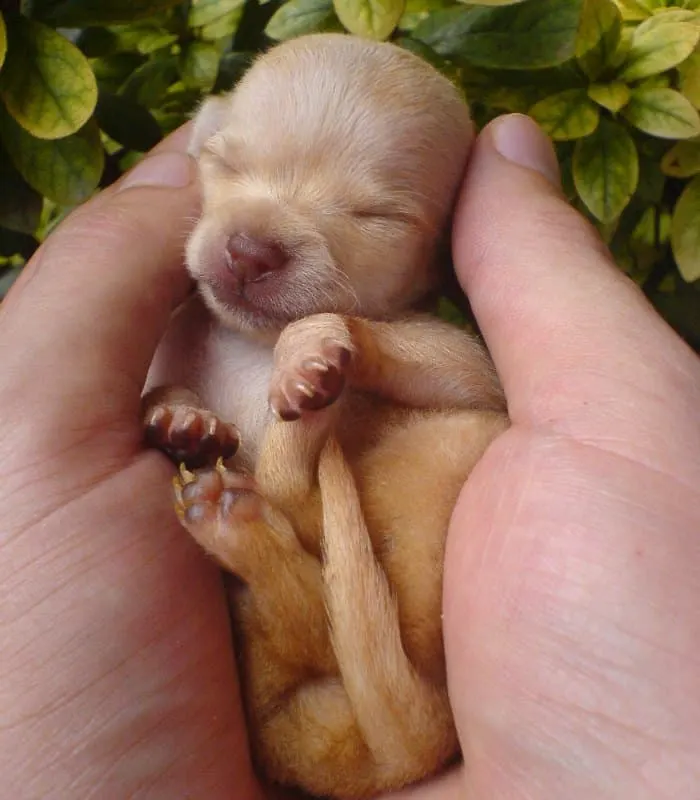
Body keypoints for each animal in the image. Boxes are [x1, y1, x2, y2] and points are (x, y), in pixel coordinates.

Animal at [144, 34, 508, 796]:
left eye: (376, 217)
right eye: (223, 161)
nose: (249, 251)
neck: (249, 341)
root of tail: (410, 752)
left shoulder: (472, 372)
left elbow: (418, 350)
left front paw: (309, 358)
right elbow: (159, 385)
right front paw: (180, 420)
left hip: (453, 447)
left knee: (315, 558)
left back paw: (249, 505)